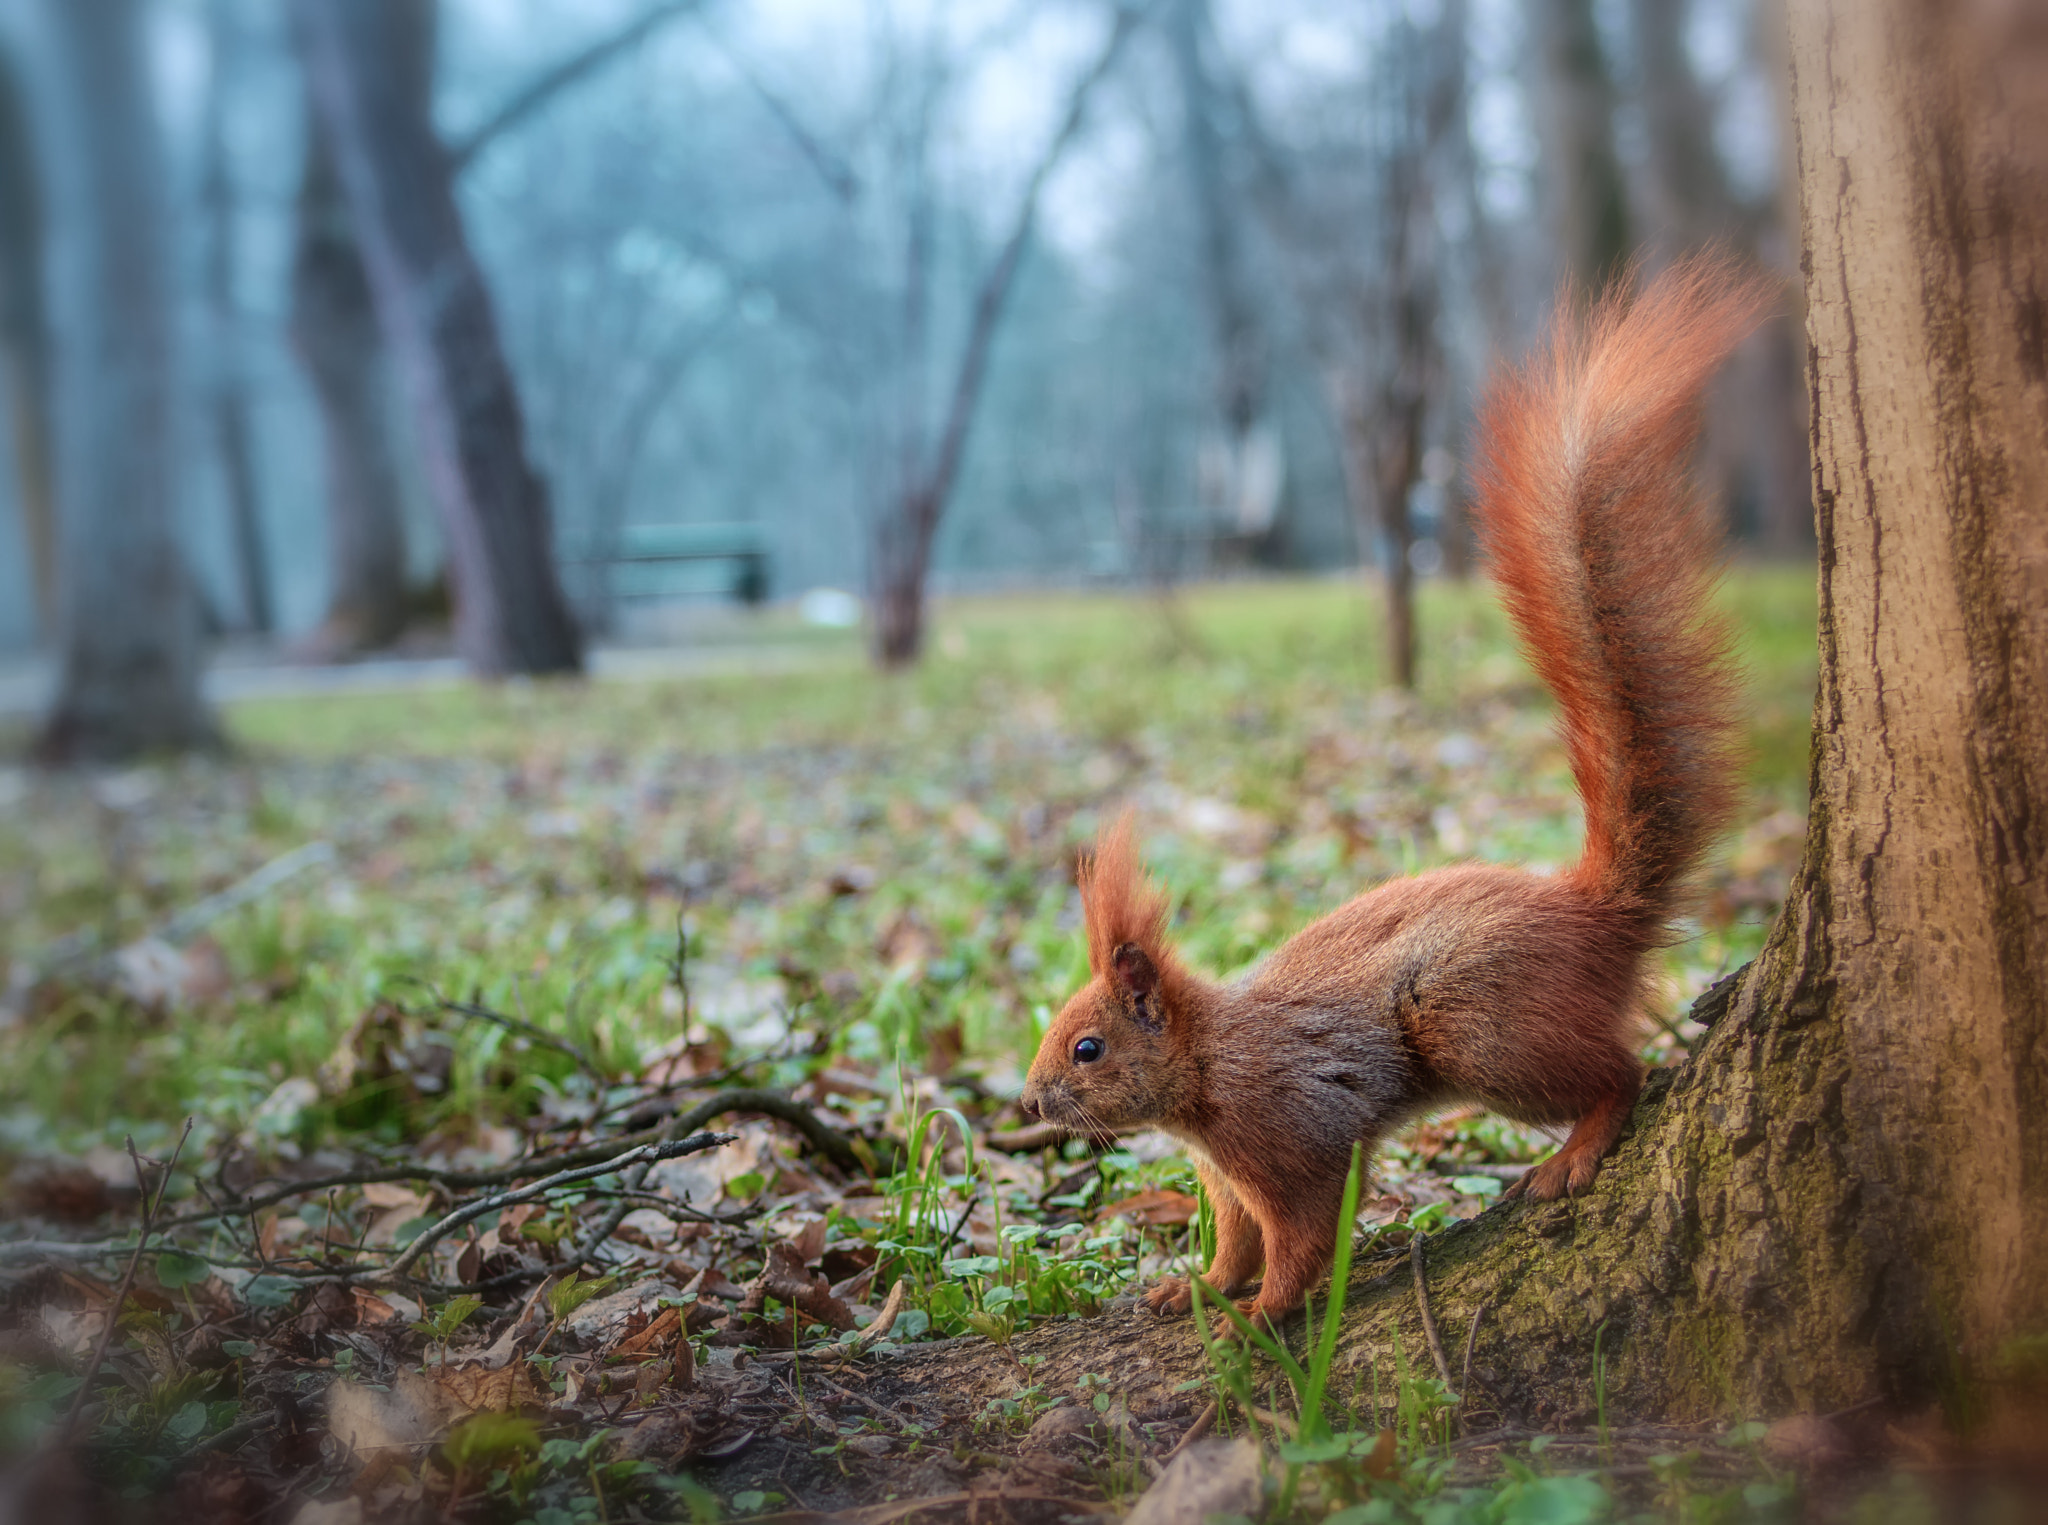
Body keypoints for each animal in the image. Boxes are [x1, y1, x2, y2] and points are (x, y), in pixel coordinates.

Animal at [1015, 258, 1769, 1318]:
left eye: (1088, 1048)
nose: (1028, 1101)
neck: (1208, 1068)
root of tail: (1597, 911)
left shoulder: (1290, 1135)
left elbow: (1301, 1233)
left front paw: (1262, 1317)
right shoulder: (1227, 1177)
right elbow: (1236, 1240)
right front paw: (1196, 1290)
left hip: (1480, 1025)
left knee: (1625, 1072)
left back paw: (1576, 1151)